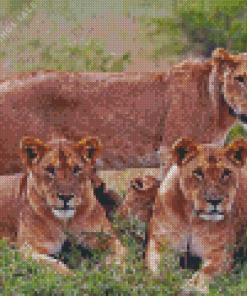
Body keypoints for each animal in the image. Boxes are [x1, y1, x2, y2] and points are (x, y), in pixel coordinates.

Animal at [0, 136, 125, 276]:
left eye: (76, 169)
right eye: (50, 170)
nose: (66, 197)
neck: (65, 220)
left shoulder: (109, 239)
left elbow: (119, 255)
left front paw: (112, 271)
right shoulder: (28, 249)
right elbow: (56, 266)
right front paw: (76, 277)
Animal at [147, 137, 247, 294]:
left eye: (226, 173)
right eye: (198, 173)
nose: (214, 201)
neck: (192, 217)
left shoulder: (220, 253)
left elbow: (206, 272)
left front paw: (191, 287)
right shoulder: (158, 244)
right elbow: (158, 266)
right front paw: (164, 280)